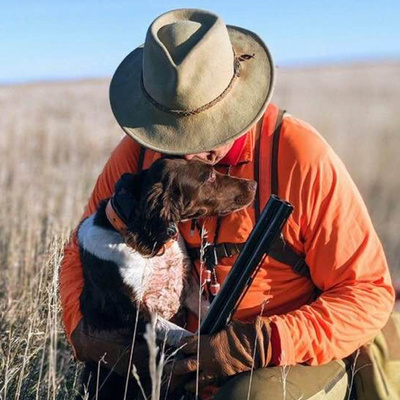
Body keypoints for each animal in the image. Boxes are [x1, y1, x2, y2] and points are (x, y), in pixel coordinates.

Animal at [76, 158, 256, 398]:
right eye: (209, 176)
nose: (253, 184)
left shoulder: (187, 289)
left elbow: (207, 308)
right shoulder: (137, 315)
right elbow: (181, 334)